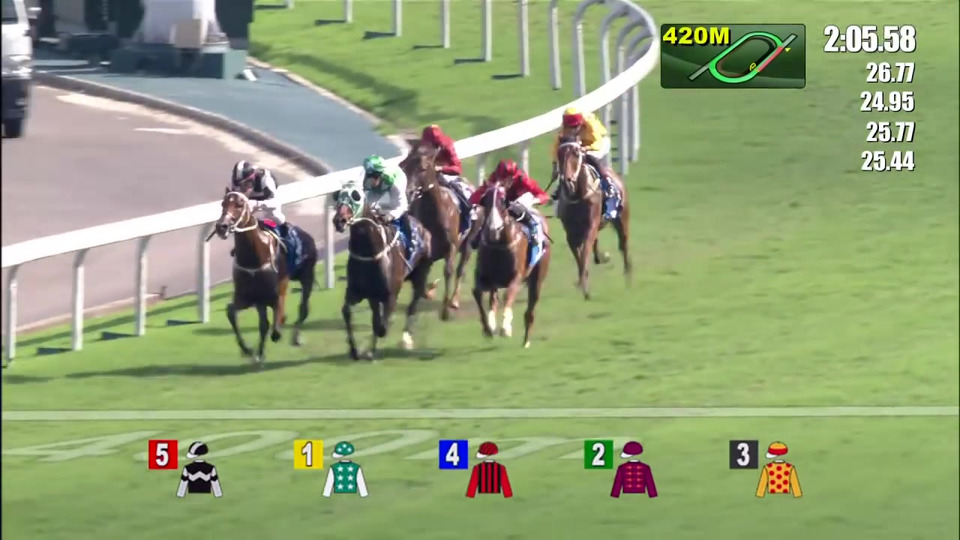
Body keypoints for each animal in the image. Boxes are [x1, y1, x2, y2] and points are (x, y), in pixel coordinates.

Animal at [213, 190, 319, 364]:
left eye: (239, 204)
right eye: (223, 203)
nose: (222, 227)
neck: (254, 258)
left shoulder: (276, 294)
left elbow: (275, 327)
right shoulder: (248, 298)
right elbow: (232, 313)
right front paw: (250, 350)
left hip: (306, 276)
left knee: (303, 309)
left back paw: (295, 337)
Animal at [332, 184, 433, 360]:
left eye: (356, 196)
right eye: (338, 196)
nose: (339, 220)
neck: (368, 252)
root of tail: (422, 228)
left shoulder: (390, 295)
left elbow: (381, 327)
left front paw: (369, 350)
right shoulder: (357, 292)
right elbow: (347, 312)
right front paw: (354, 350)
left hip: (421, 273)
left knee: (414, 303)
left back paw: (406, 339)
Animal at [400, 146, 474, 320]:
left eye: (423, 168)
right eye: (405, 167)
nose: (409, 192)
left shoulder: (451, 246)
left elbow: (448, 271)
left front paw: (445, 310)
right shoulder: (425, 253)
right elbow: (421, 282)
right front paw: (431, 290)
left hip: (467, 243)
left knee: (461, 269)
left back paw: (454, 301)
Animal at [471, 185, 551, 348]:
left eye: (503, 201)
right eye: (485, 200)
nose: (493, 228)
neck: (498, 245)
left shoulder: (516, 276)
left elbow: (508, 295)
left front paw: (506, 328)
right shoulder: (484, 276)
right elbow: (477, 293)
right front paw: (488, 328)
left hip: (537, 278)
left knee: (530, 310)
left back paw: (526, 341)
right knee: (493, 300)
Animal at [555, 136, 631, 299]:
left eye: (576, 153)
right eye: (559, 153)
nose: (566, 181)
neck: (577, 195)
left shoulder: (591, 225)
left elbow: (584, 253)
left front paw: (585, 289)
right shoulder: (571, 233)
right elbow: (579, 257)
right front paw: (581, 282)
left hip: (622, 220)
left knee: (623, 244)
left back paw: (628, 276)